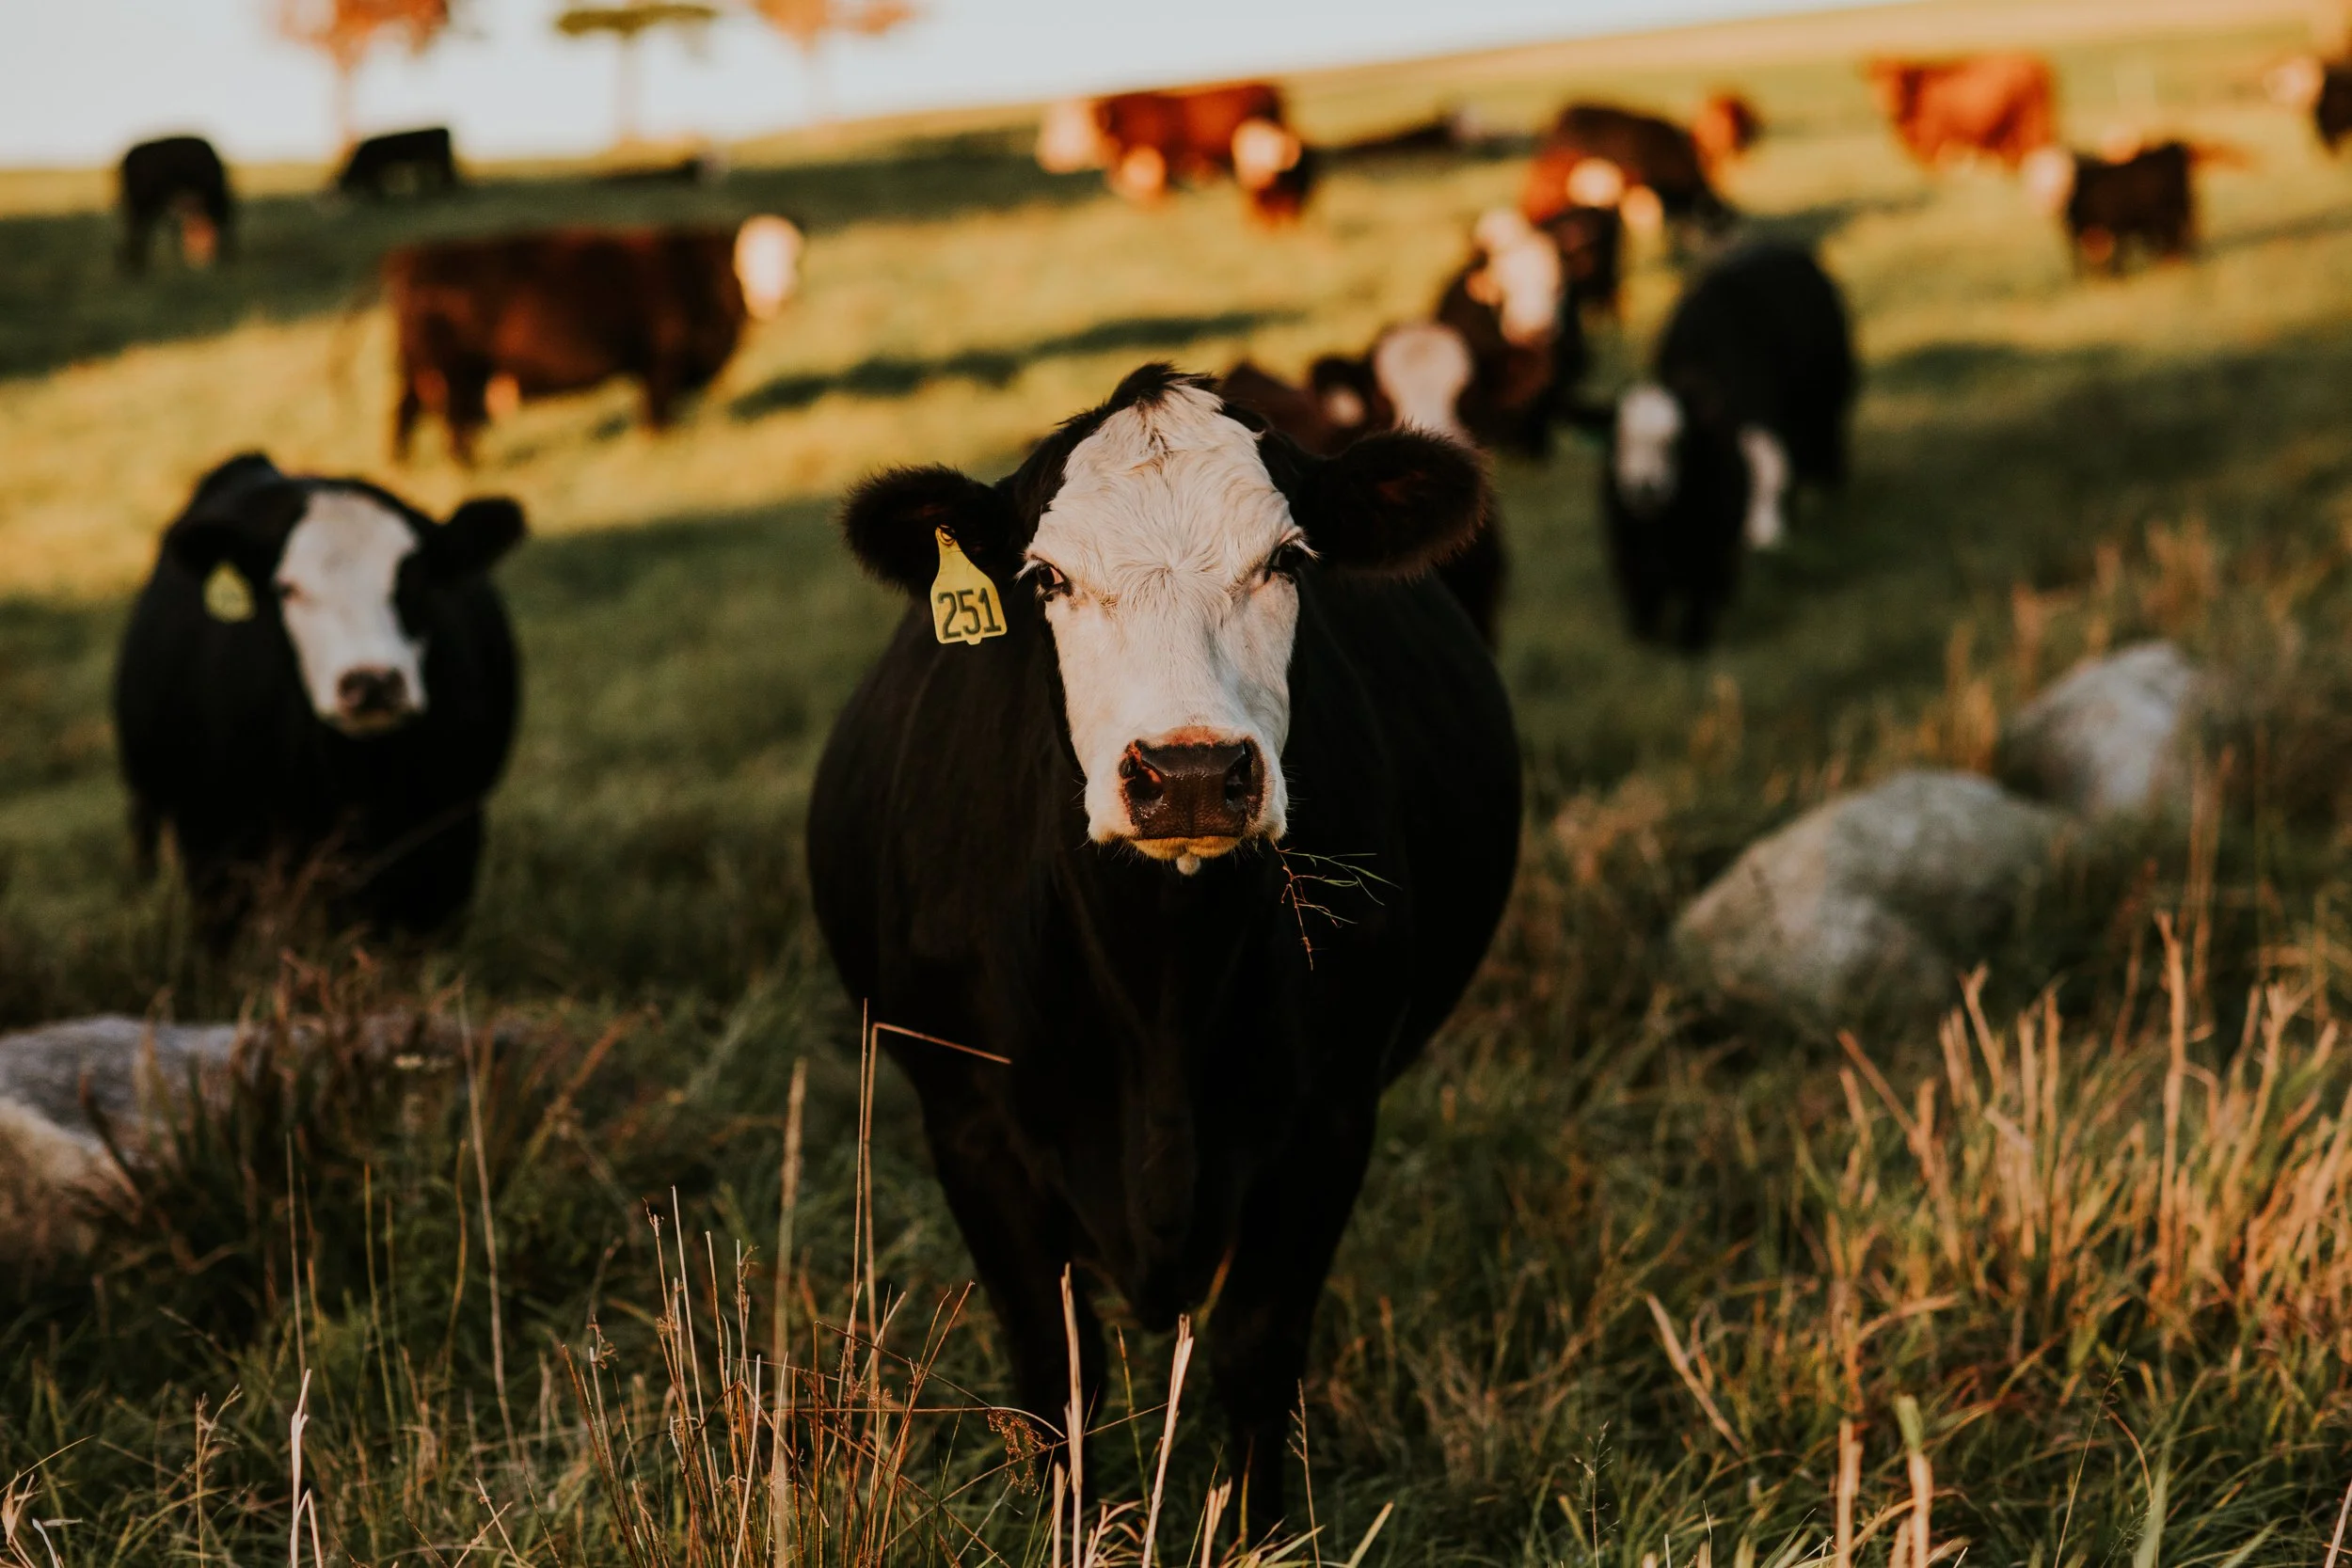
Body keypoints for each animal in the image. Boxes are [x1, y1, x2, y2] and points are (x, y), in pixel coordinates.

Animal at [384, 216, 802, 463]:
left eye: (794, 260)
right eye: (747, 263)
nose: (779, 298)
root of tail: (414, 255)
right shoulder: (661, 361)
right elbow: (656, 410)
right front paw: (658, 444)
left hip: (422, 368)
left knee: (405, 410)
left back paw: (403, 462)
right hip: (453, 371)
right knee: (452, 421)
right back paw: (466, 465)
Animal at [807, 364, 1520, 1529]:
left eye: (1286, 561)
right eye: (1045, 576)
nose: (1188, 771)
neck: (1159, 990)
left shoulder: (1329, 1117)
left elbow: (1254, 1354)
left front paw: (1253, 1534)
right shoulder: (967, 1123)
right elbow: (1058, 1373)